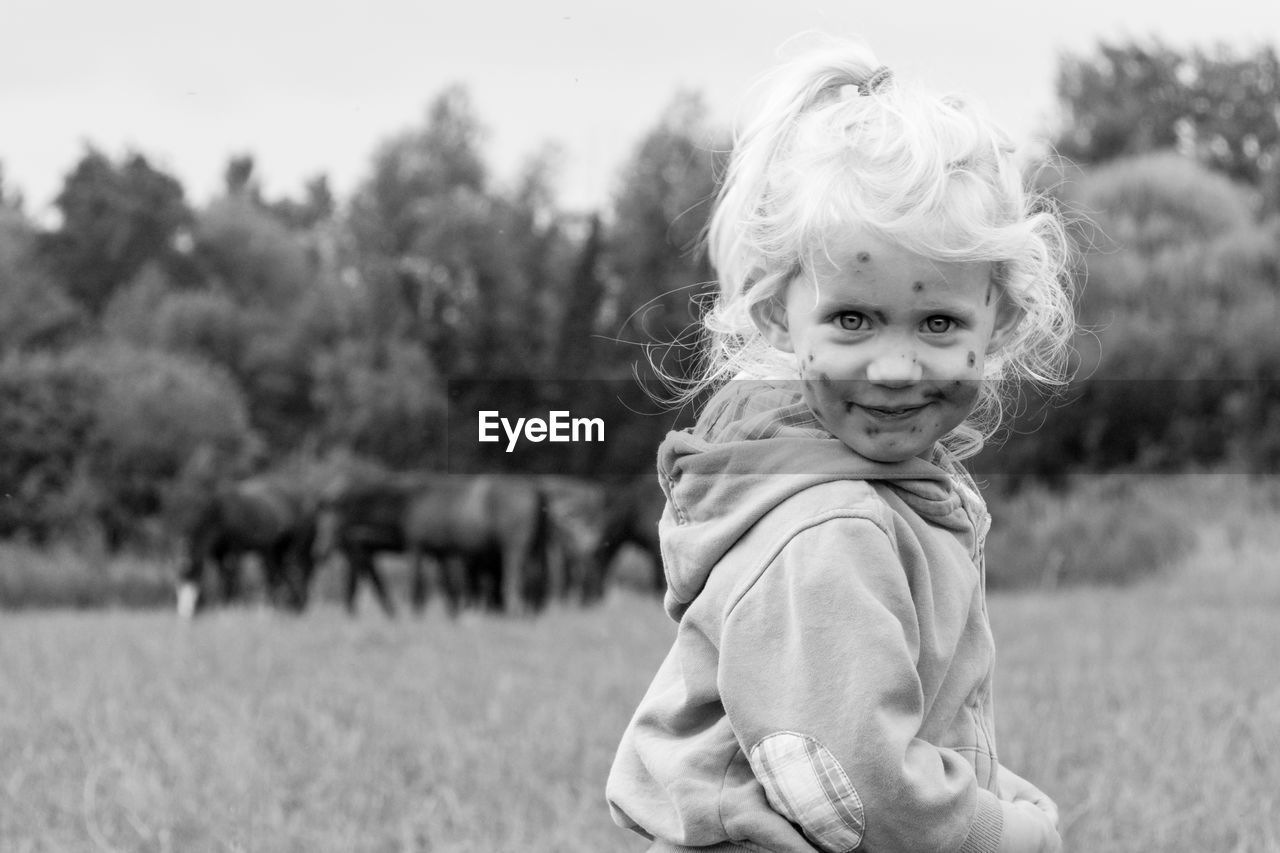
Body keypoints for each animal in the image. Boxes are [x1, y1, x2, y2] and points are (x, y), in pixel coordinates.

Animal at [175, 471, 320, 617]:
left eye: (192, 576)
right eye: (180, 580)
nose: (184, 614)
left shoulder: (235, 548)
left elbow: (232, 575)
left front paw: (232, 605)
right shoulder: (218, 553)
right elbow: (223, 576)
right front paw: (223, 604)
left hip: (299, 545)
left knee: (300, 569)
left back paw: (294, 604)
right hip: (277, 549)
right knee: (280, 572)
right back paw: (289, 604)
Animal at [318, 468, 550, 614]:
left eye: (334, 515)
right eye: (324, 517)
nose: (320, 549)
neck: (407, 505)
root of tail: (536, 490)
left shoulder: (417, 547)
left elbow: (416, 582)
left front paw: (415, 612)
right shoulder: (439, 552)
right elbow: (447, 586)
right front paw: (452, 613)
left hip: (515, 549)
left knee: (516, 579)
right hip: (534, 548)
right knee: (535, 579)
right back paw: (531, 613)